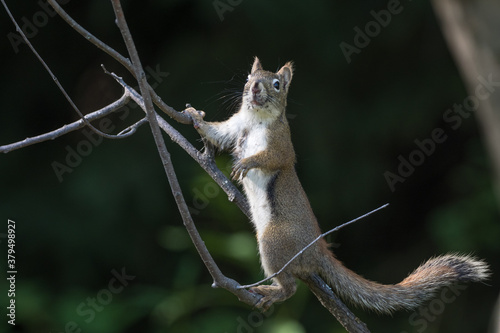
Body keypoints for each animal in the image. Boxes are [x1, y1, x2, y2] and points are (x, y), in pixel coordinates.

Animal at [183, 57, 488, 314]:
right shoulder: (235, 127)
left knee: (290, 288)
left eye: (277, 84)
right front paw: (194, 116)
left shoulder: (282, 145)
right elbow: (217, 132)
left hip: (274, 241)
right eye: (249, 77)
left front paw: (246, 163)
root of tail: (318, 250)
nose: (255, 88)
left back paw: (273, 292)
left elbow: (272, 158)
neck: (256, 117)